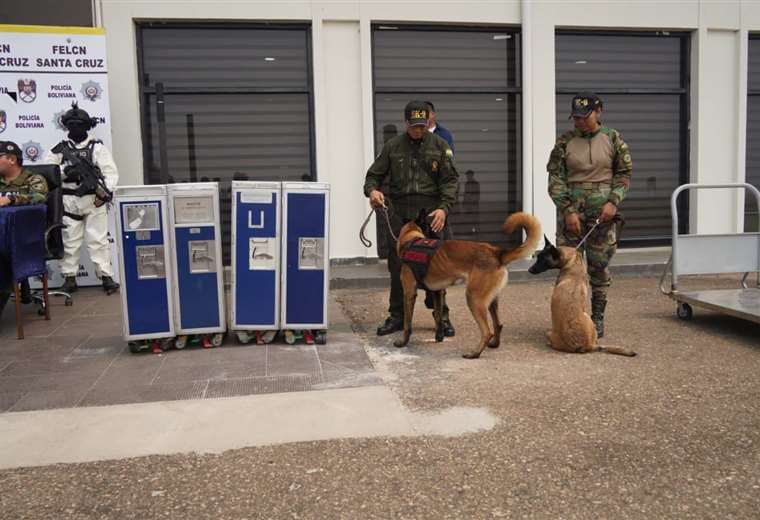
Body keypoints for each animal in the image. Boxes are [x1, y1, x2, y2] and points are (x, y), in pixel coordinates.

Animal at [394, 210, 544, 358]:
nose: (439, 235)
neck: (410, 240)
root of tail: (496, 254)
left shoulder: (409, 293)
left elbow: (407, 324)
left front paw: (403, 342)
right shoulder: (437, 292)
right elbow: (438, 317)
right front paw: (439, 337)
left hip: (473, 298)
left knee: (487, 332)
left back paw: (474, 353)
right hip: (491, 301)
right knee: (498, 324)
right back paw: (494, 344)